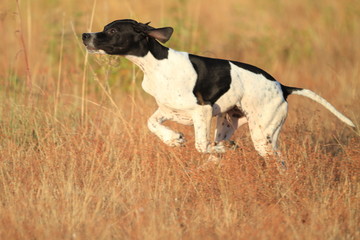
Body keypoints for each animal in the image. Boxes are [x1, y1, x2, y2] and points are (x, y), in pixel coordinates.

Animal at [83, 19, 356, 158]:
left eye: (112, 30)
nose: (85, 35)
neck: (156, 65)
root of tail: (282, 86)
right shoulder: (169, 110)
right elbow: (151, 123)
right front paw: (173, 139)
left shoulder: (201, 111)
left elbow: (200, 145)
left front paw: (220, 148)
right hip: (228, 123)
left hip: (263, 135)